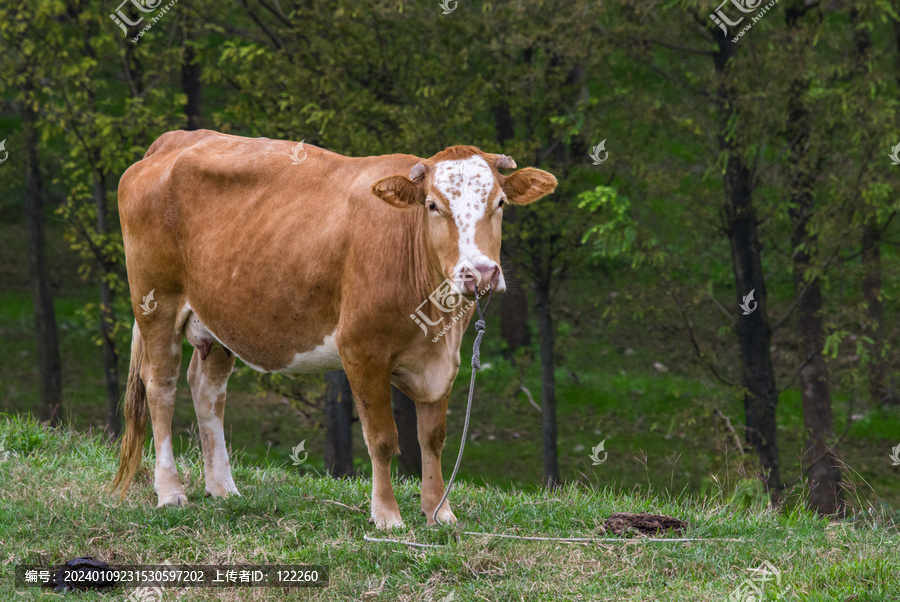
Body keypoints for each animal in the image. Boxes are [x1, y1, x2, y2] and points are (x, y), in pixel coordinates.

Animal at [111, 130, 556, 524]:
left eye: (500, 202)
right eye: (432, 205)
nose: (480, 273)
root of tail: (175, 140)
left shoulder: (442, 360)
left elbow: (432, 437)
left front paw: (439, 513)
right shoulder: (360, 348)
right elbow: (382, 438)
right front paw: (387, 516)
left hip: (220, 320)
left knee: (206, 390)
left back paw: (223, 488)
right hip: (156, 302)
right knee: (161, 388)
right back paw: (170, 491)